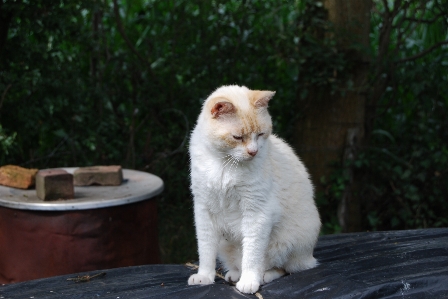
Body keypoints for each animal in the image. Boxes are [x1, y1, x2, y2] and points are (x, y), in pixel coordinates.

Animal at [187, 85, 320, 294]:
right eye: (237, 137)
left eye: (260, 134)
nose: (253, 152)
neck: (224, 162)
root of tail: (309, 257)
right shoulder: (203, 210)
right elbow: (206, 250)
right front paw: (204, 277)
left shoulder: (256, 212)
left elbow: (251, 253)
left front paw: (249, 282)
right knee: (237, 263)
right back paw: (234, 274)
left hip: (283, 245)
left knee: (283, 268)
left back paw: (261, 277)